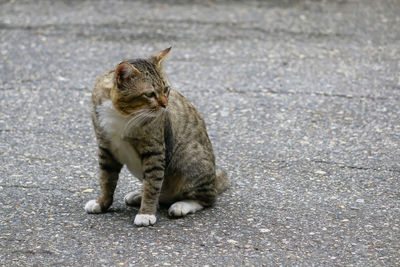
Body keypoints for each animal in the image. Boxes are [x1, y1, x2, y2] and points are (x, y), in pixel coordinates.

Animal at [84, 47, 228, 226]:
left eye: (166, 89)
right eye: (150, 94)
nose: (165, 104)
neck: (123, 114)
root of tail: (214, 180)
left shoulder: (154, 150)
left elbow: (152, 185)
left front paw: (146, 213)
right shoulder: (106, 148)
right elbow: (106, 180)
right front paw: (101, 203)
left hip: (192, 162)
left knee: (206, 198)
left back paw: (181, 205)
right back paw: (138, 195)